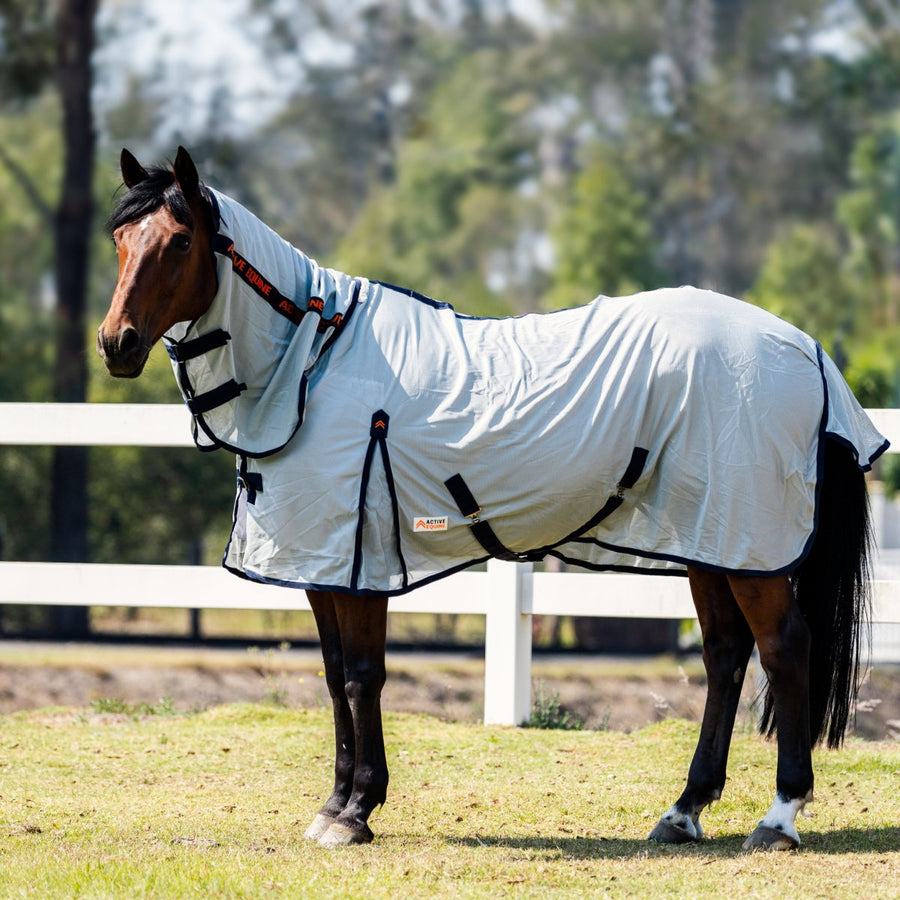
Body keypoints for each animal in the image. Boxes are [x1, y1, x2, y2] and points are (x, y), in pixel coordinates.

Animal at [98, 146, 884, 852]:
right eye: (120, 240)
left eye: (178, 241)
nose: (116, 343)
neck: (312, 365)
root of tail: (803, 347)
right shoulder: (321, 565)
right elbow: (333, 679)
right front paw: (338, 804)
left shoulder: (359, 563)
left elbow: (361, 677)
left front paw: (354, 812)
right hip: (710, 540)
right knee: (725, 656)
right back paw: (683, 812)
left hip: (748, 546)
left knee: (783, 649)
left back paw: (777, 819)